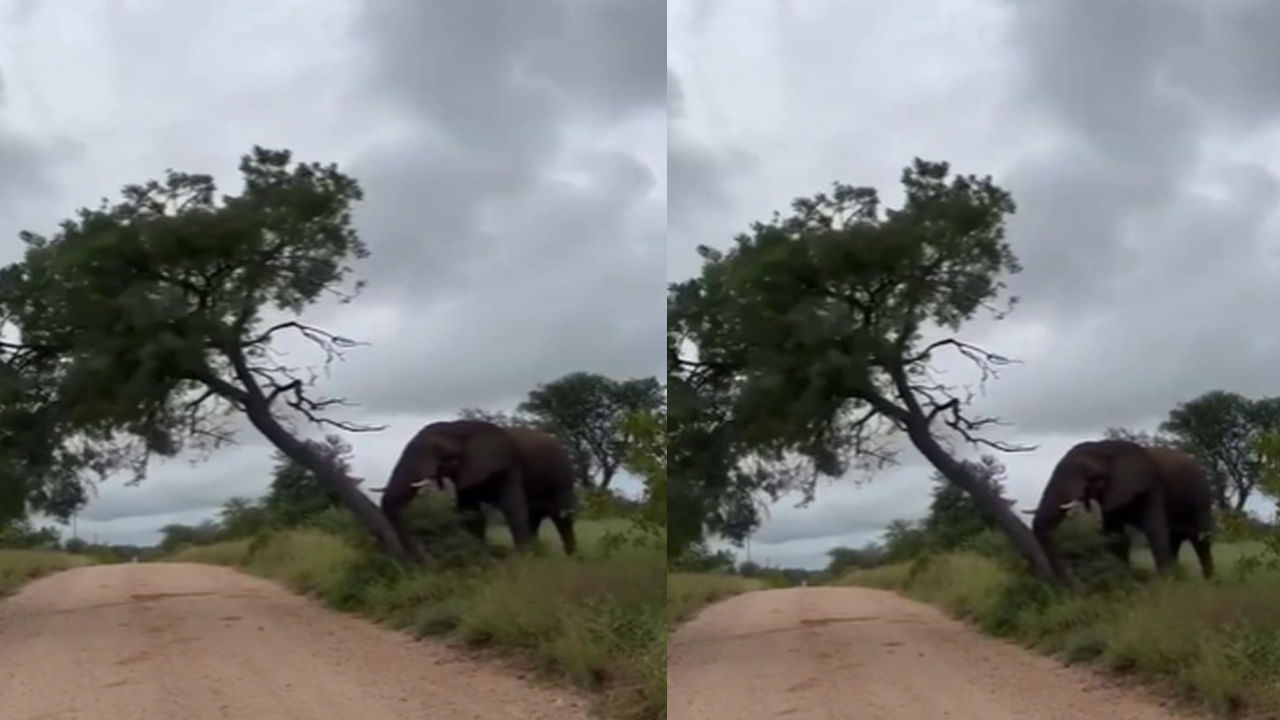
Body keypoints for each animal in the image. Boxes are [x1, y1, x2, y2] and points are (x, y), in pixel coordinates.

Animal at [375, 419, 578, 558]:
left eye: (443, 455)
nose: (420, 558)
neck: (460, 426)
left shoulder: (510, 465)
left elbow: (513, 508)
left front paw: (525, 561)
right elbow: (470, 513)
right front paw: (480, 557)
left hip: (563, 473)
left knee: (562, 517)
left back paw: (571, 557)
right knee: (534, 517)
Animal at [1023, 439, 1215, 583]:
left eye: (1089, 475)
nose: (1068, 583)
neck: (1107, 447)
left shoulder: (1151, 486)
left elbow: (1155, 530)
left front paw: (1166, 584)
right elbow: (1114, 536)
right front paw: (1125, 581)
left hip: (1202, 495)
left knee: (1200, 539)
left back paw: (1209, 581)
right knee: (1175, 540)